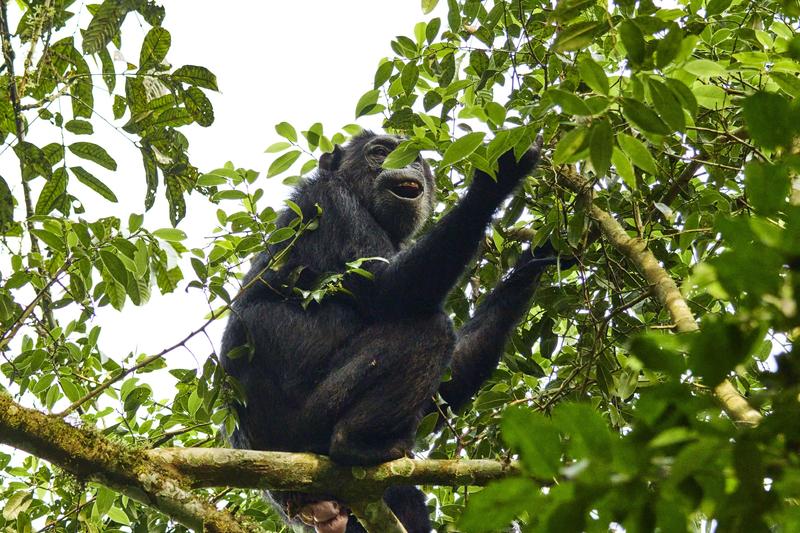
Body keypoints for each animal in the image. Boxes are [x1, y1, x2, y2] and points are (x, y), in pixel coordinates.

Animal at [219, 130, 568, 532]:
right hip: (307, 424)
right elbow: (389, 289)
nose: (402, 163)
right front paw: (501, 172)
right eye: (379, 152)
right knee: (428, 329)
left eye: (414, 156)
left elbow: (445, 388)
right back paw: (357, 444)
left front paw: (537, 257)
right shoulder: (333, 205)